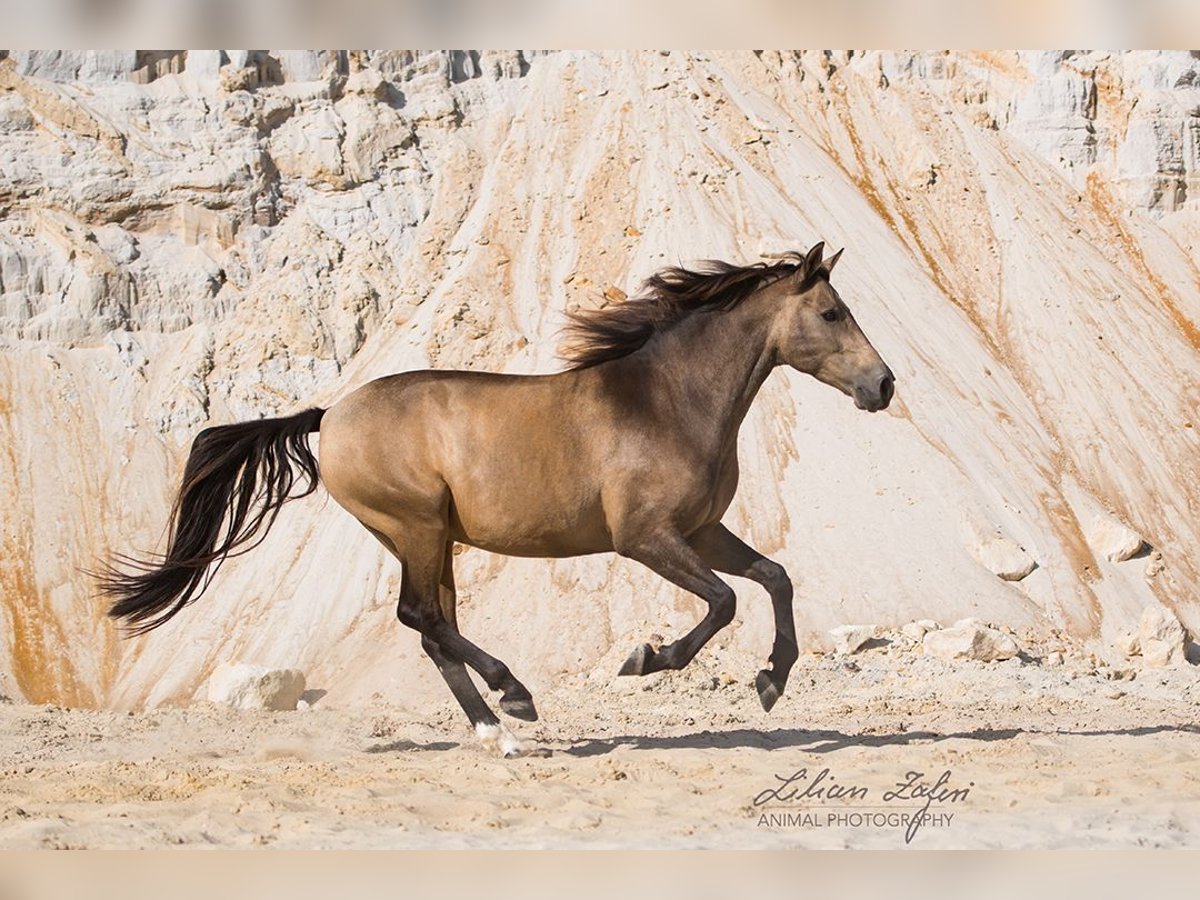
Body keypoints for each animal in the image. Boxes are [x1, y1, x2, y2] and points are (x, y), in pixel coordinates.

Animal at [100, 243, 892, 758]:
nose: (882, 386)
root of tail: (330, 415)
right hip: (415, 527)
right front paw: (645, 659)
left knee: (433, 628)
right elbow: (724, 603)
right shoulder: (645, 538)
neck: (667, 401)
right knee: (422, 618)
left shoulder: (700, 531)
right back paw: (516, 698)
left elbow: (775, 578)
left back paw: (496, 730)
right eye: (831, 312)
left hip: (428, 540)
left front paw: (771, 681)